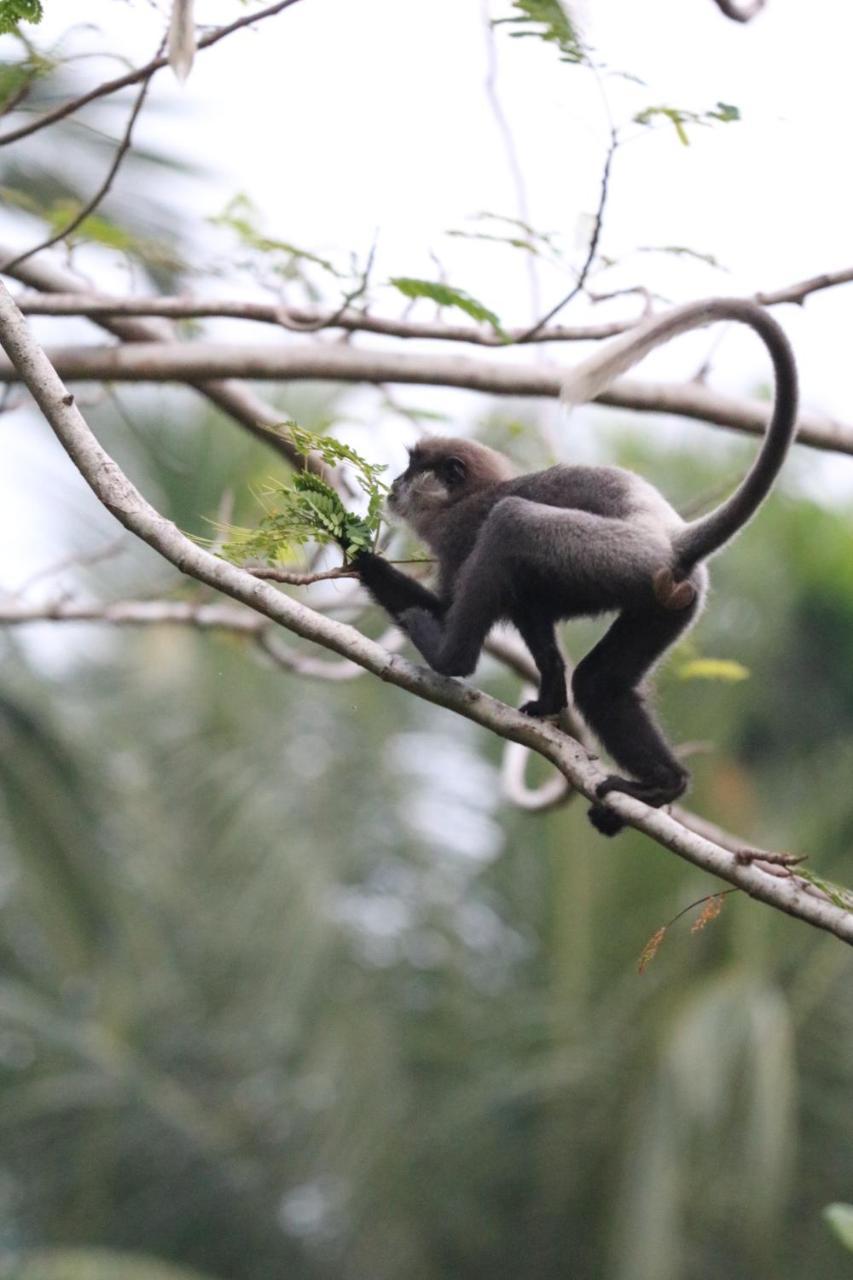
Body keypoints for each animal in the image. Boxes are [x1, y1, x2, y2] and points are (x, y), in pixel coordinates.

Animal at [350, 302, 799, 839]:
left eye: (414, 467)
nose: (396, 483)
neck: (465, 498)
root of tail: (670, 536)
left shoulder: (459, 533)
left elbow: (452, 600)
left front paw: (359, 555)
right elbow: (530, 614)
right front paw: (548, 699)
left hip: (612, 554)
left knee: (512, 524)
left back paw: (449, 660)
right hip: (666, 600)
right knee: (599, 682)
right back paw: (666, 784)